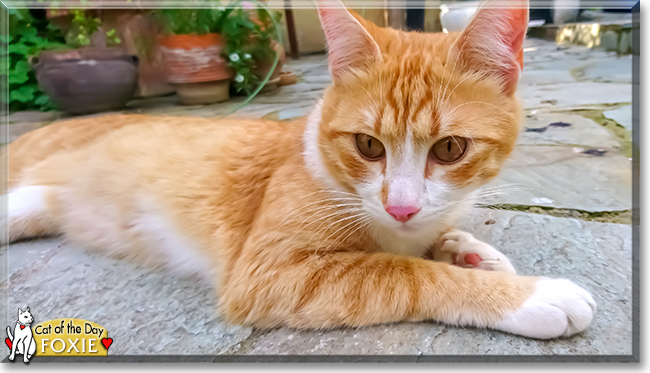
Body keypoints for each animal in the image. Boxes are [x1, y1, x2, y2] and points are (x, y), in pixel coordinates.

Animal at [2, 0, 596, 338]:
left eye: (450, 149)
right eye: (367, 145)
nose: (400, 206)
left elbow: (436, 238)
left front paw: (471, 252)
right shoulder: (268, 275)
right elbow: (403, 272)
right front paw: (525, 294)